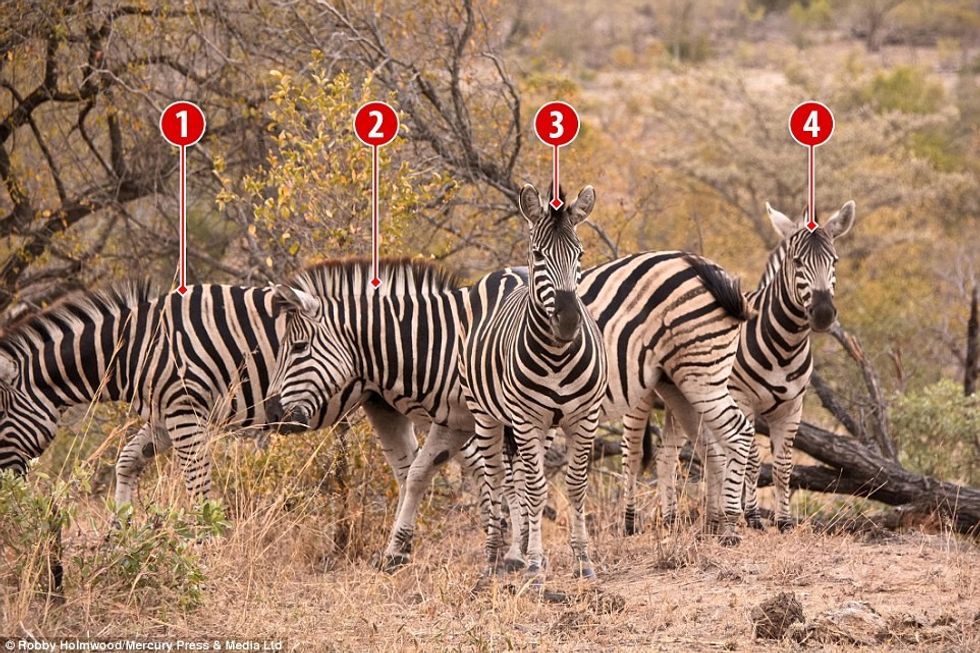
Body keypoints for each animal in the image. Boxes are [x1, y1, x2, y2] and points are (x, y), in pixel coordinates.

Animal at [459, 184, 607, 580]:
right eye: (539, 254)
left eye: (580, 254)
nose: (569, 321)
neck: (557, 355)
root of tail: (505, 272)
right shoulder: (526, 420)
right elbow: (537, 490)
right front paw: (537, 567)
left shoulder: (583, 418)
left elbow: (575, 485)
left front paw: (583, 561)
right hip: (486, 415)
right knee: (497, 478)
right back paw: (494, 558)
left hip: (542, 427)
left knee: (517, 480)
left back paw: (516, 552)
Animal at [654, 200, 856, 531]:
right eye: (797, 262)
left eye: (835, 260)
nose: (824, 313)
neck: (785, 345)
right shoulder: (742, 399)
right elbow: (751, 460)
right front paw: (752, 517)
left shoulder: (792, 408)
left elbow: (782, 466)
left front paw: (784, 522)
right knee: (663, 453)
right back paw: (666, 519)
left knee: (680, 451)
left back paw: (693, 517)